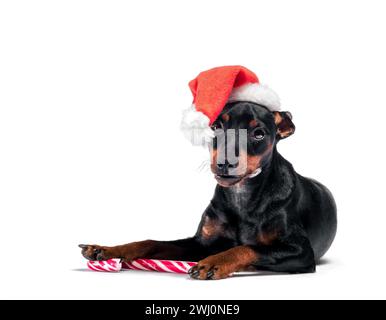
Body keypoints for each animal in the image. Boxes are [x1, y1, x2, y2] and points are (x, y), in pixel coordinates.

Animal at [80, 102, 336, 280]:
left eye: (259, 133)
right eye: (216, 127)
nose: (224, 162)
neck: (242, 196)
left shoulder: (301, 252)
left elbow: (248, 247)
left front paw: (214, 263)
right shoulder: (200, 244)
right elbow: (151, 242)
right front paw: (108, 250)